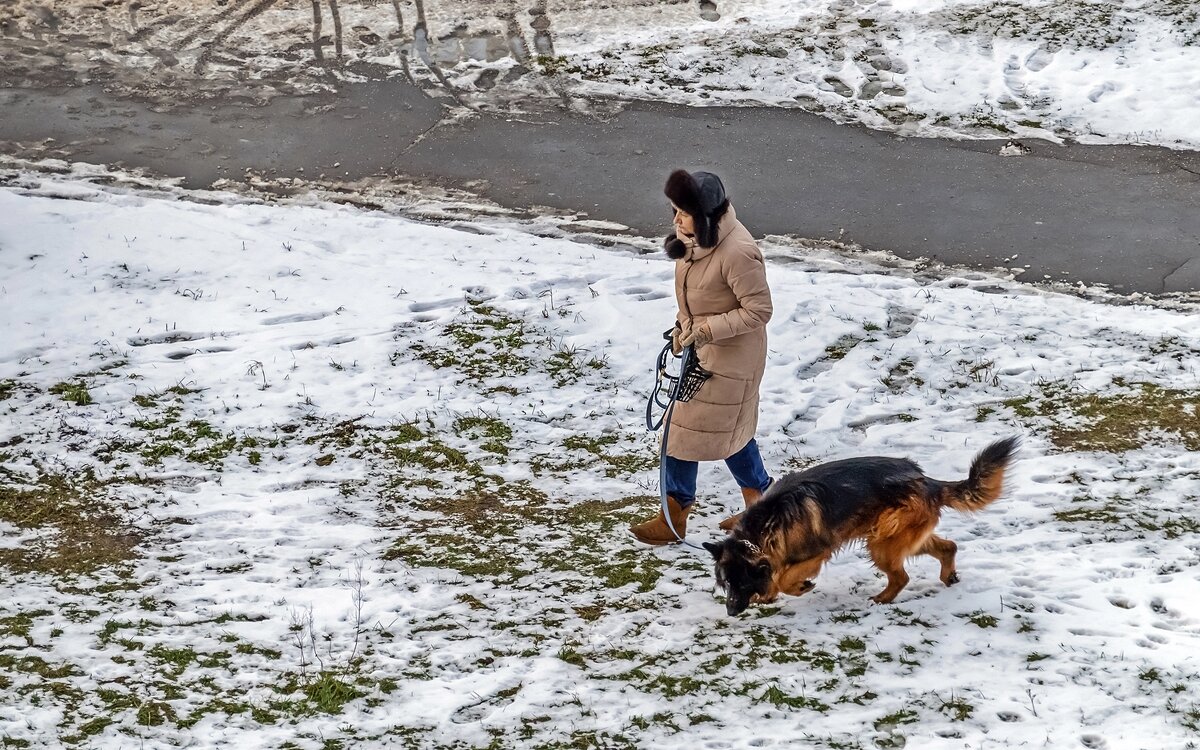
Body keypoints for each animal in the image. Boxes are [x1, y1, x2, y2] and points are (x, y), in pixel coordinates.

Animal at [700, 439, 1022, 614]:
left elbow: (784, 577)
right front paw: (768, 595)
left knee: (902, 577)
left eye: (741, 583)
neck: (760, 531)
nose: (730, 612)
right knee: (948, 547)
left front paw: (796, 587)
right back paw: (948, 576)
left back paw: (881, 599)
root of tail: (927, 481)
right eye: (726, 584)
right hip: (899, 537)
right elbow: (776, 576)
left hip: (881, 542)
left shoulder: (816, 553)